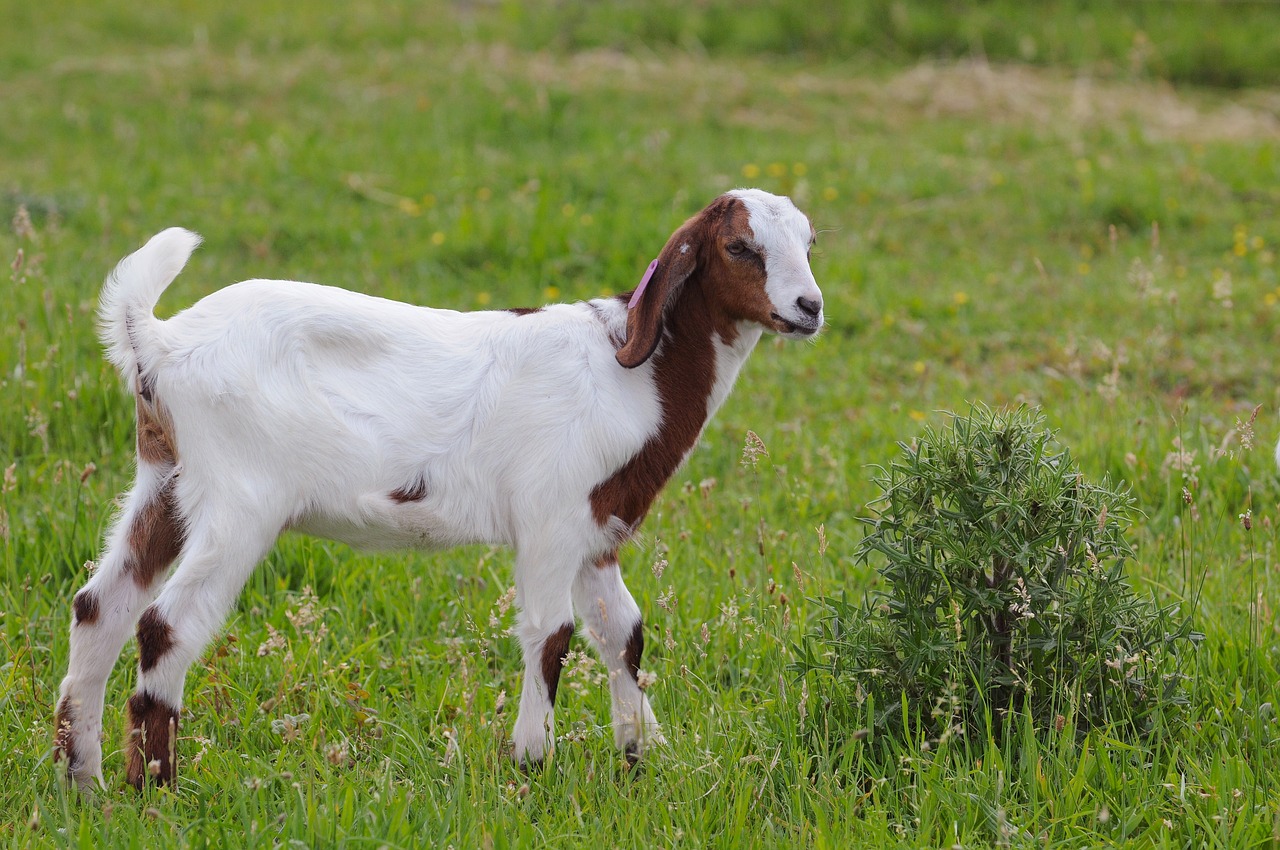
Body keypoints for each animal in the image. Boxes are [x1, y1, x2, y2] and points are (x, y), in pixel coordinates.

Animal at [55, 188, 824, 788]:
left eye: (810, 241)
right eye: (739, 247)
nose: (809, 306)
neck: (631, 371)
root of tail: (157, 342)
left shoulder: (595, 530)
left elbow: (623, 633)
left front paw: (643, 756)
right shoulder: (549, 518)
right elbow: (551, 634)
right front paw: (529, 766)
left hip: (164, 479)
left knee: (100, 606)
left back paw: (84, 782)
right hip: (240, 498)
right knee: (165, 624)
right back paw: (155, 788)